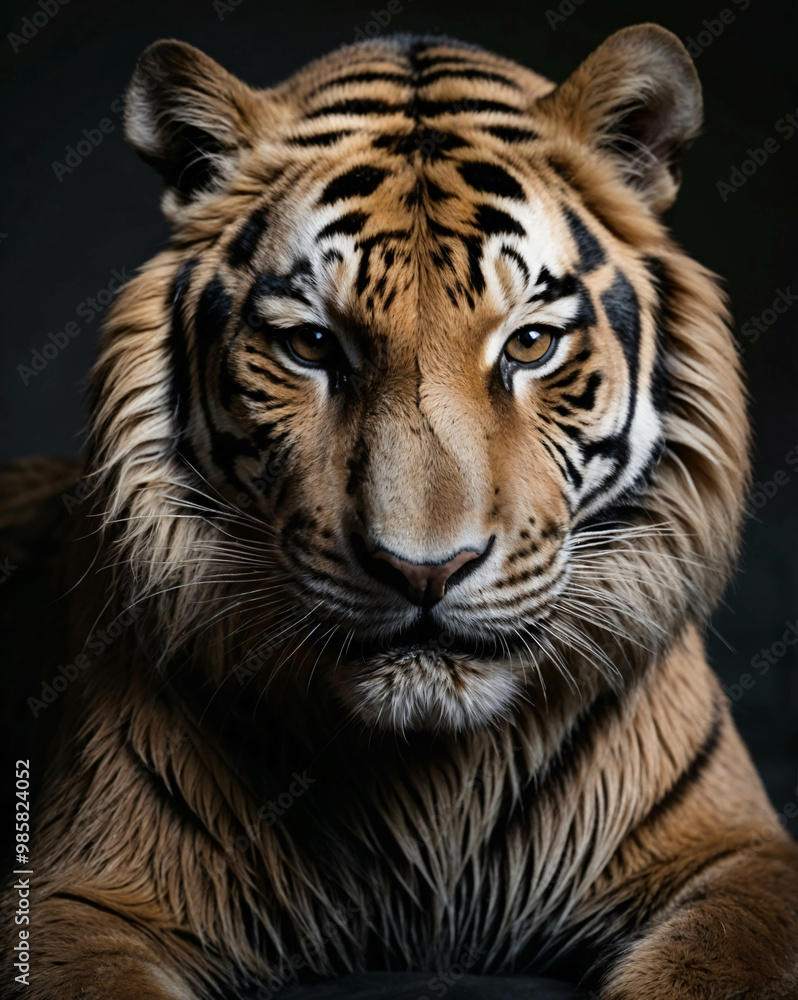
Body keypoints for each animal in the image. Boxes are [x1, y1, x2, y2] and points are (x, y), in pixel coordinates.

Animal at [2, 22, 797, 1000]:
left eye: (530, 343)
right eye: (312, 345)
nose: (426, 571)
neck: (431, 779)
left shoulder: (743, 856)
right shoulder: (78, 890)